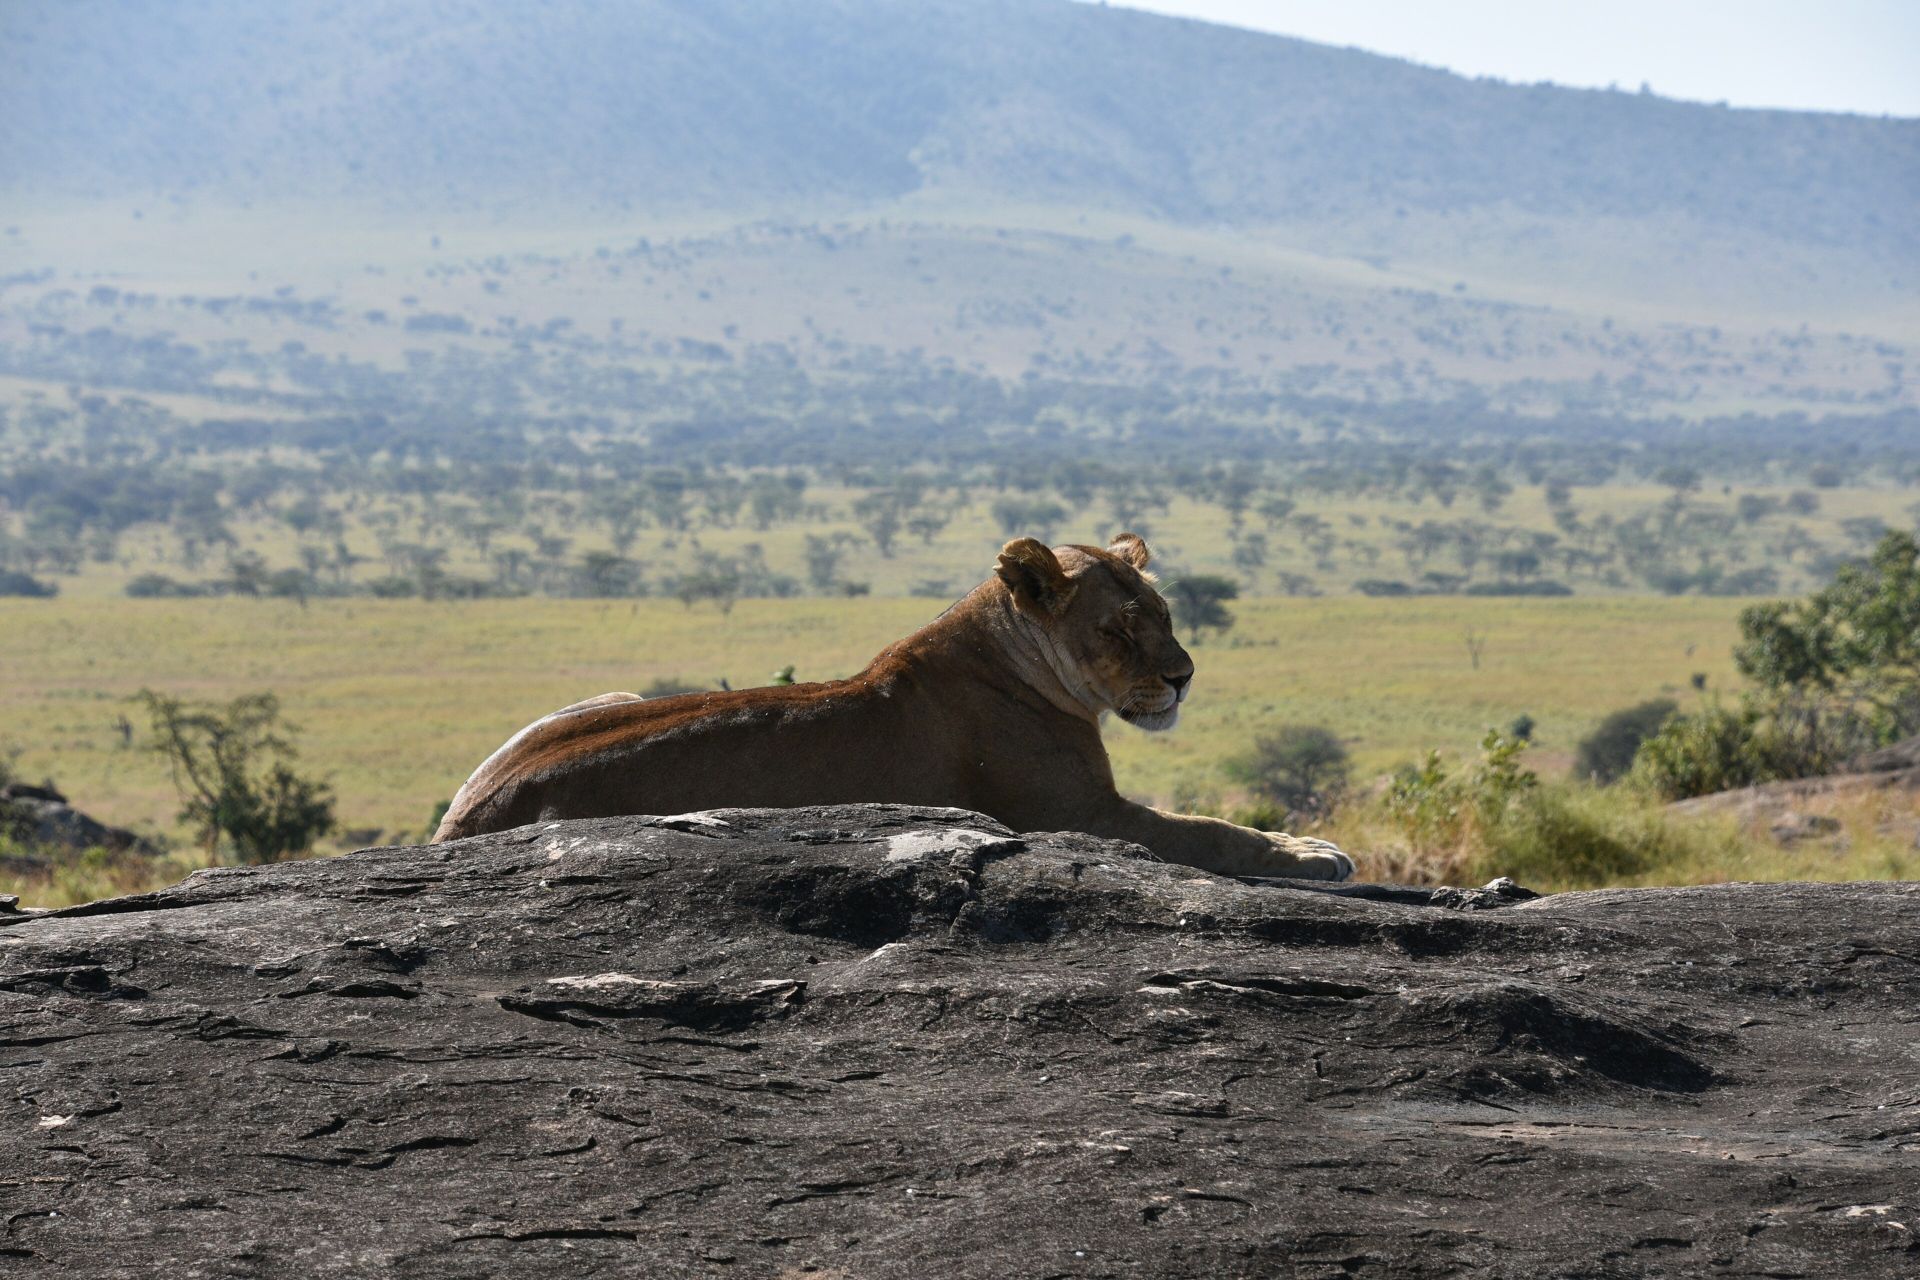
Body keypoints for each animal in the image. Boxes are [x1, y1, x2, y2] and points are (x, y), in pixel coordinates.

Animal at [432, 534, 1353, 881]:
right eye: (1119, 630)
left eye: (1165, 614)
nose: (1184, 676)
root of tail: (457, 823)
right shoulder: (1081, 815)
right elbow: (1212, 832)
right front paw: (1312, 852)